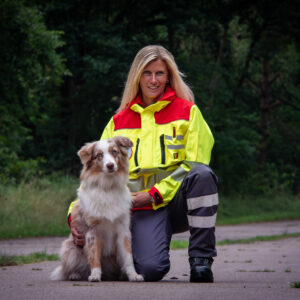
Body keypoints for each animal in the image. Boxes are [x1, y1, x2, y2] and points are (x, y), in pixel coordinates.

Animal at [50, 137, 144, 282]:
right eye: (99, 155)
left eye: (114, 151)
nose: (110, 165)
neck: (107, 187)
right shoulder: (92, 231)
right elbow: (94, 256)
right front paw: (94, 275)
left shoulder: (123, 230)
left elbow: (128, 257)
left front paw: (133, 275)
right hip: (68, 248)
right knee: (68, 268)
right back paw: (74, 274)